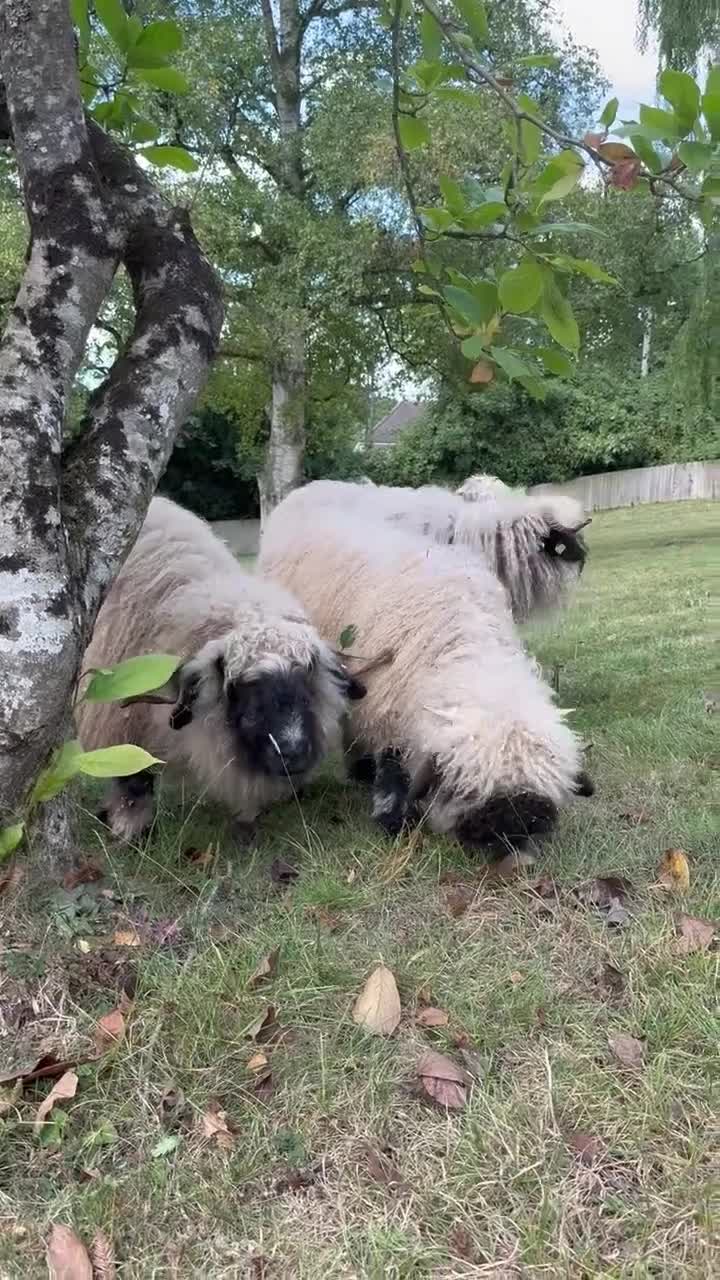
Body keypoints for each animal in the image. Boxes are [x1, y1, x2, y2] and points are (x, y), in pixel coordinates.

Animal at [77, 497, 364, 844]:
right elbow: (132, 782)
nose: (294, 753)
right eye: (243, 688)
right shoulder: (116, 722)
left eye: (306, 685)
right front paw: (131, 830)